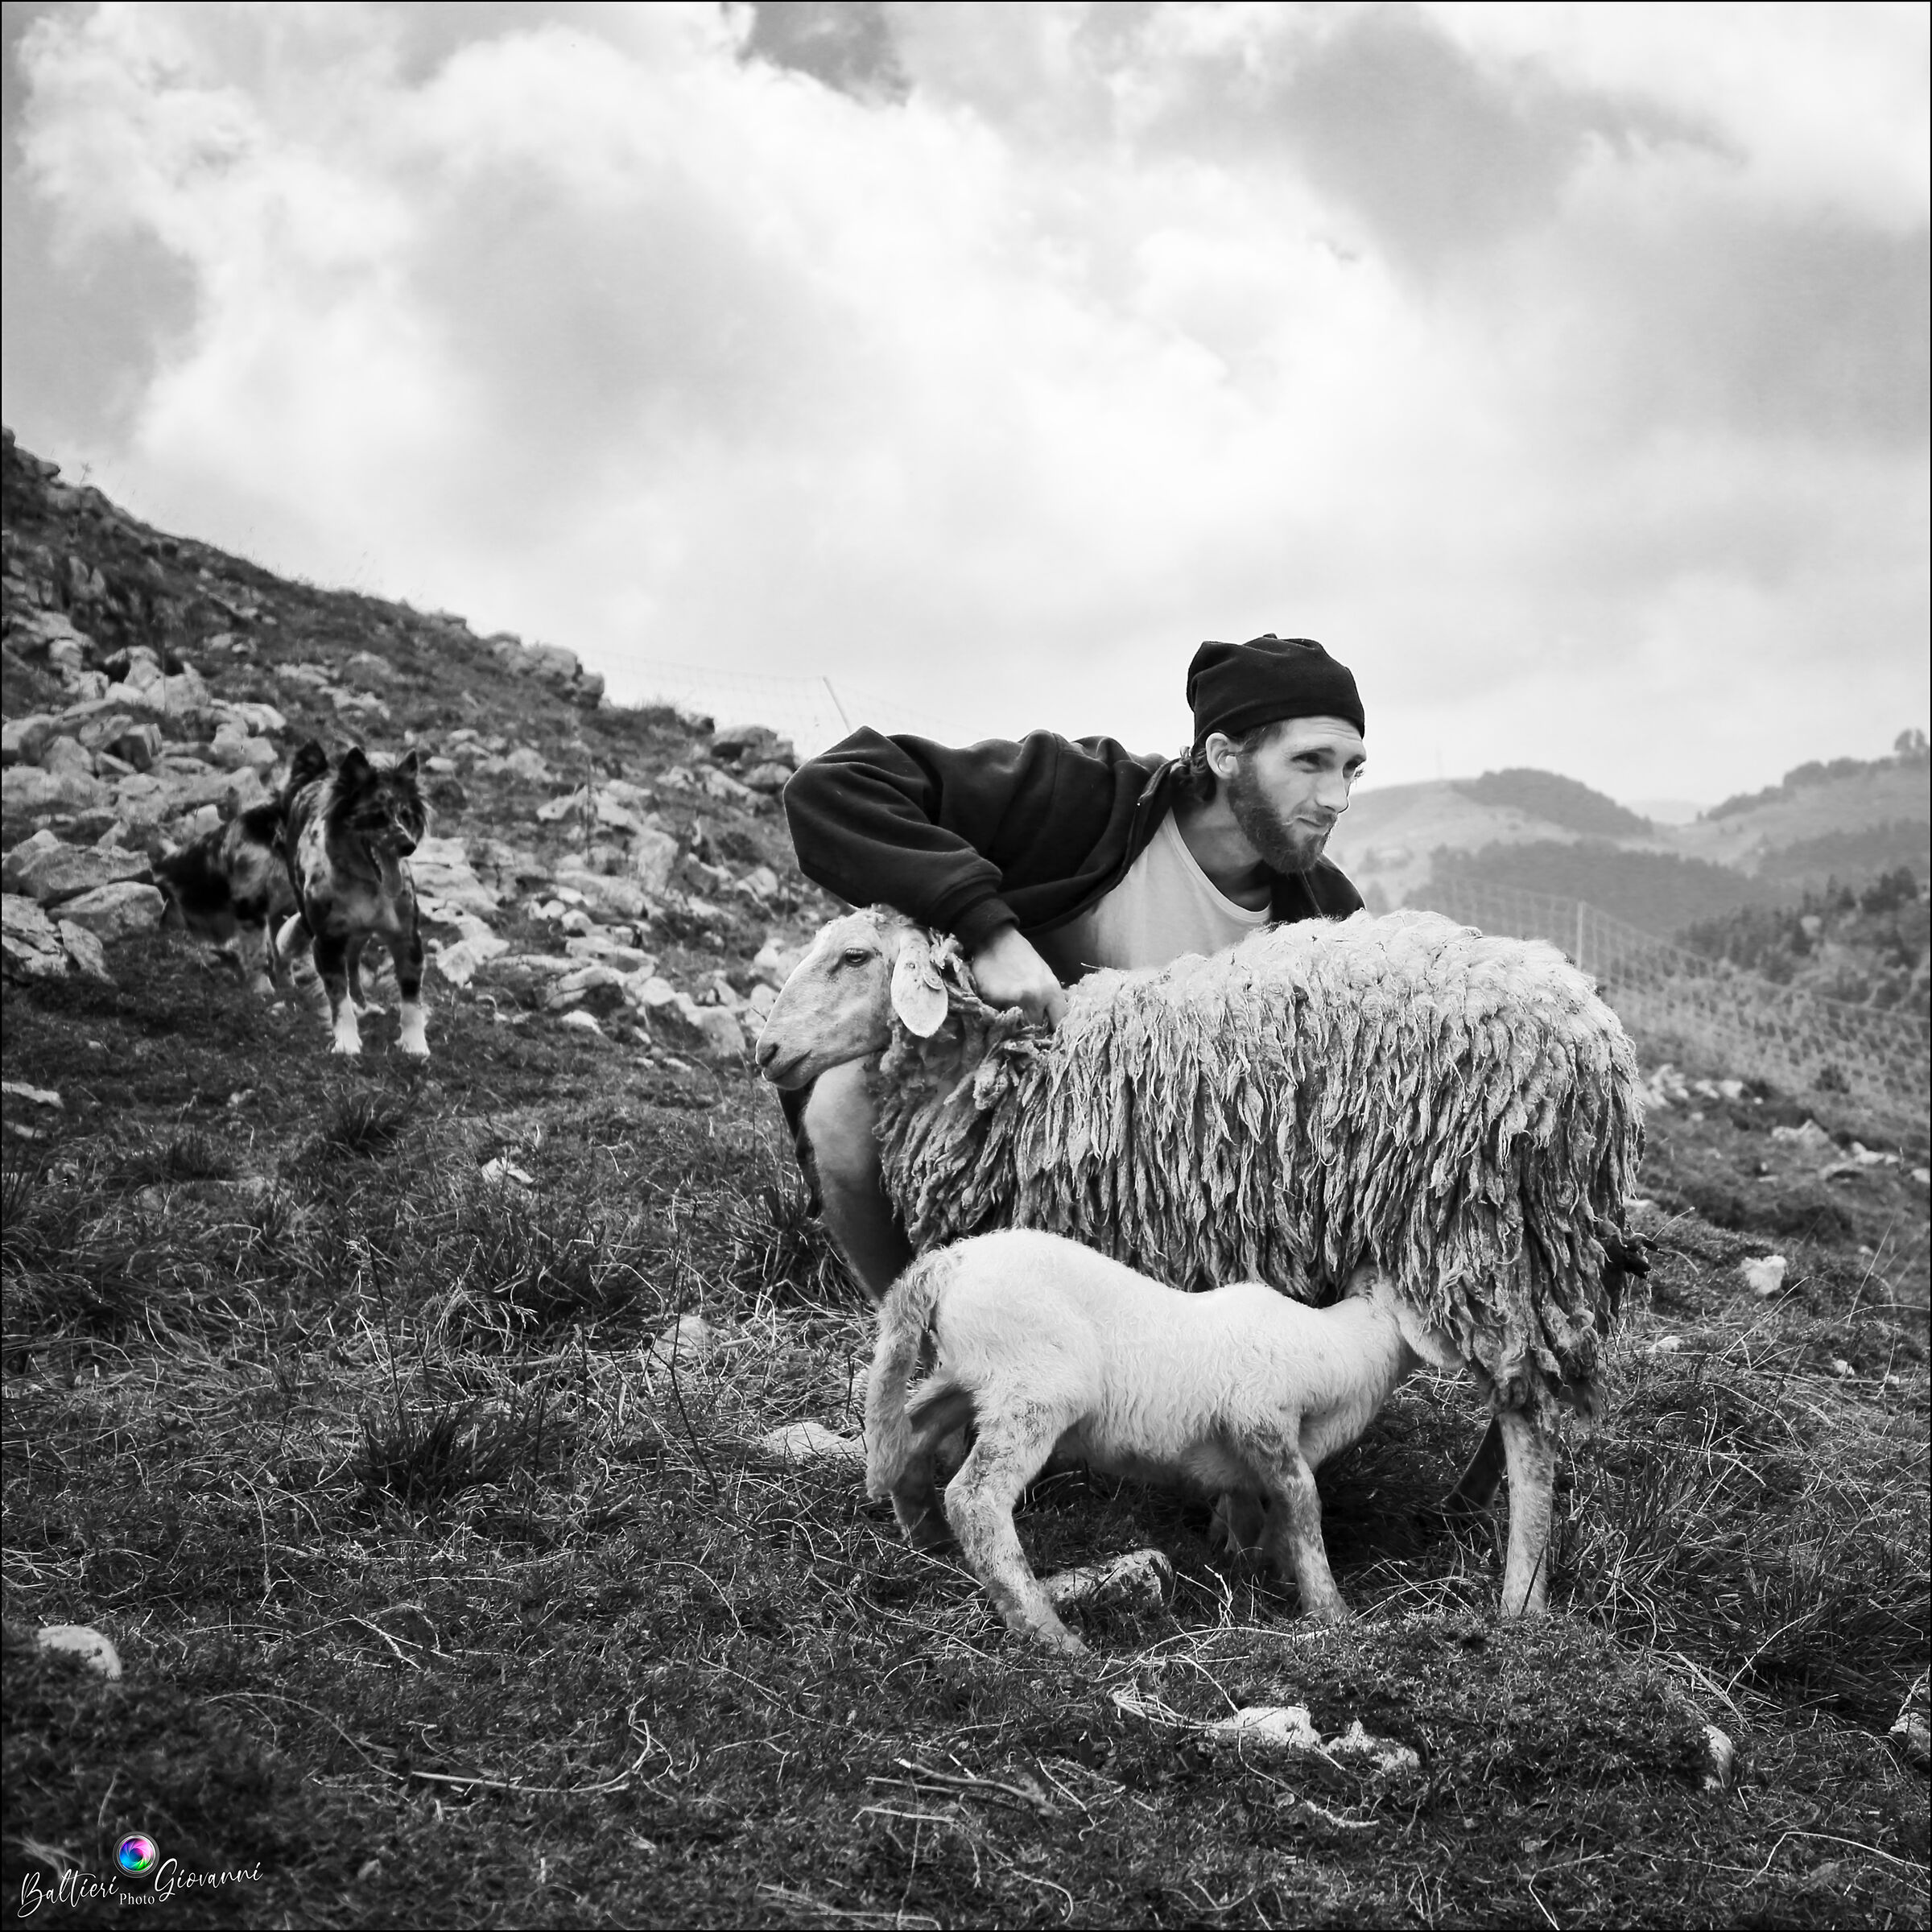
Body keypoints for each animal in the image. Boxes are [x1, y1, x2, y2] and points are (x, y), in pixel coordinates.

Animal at [868, 1228, 1452, 1655]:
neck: (1343, 1349)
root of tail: (950, 1261)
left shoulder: (1247, 1450)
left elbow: (1253, 1509)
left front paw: (1249, 1564)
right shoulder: (1259, 1413)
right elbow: (1303, 1501)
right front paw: (1331, 1612)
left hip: (965, 1377)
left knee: (908, 1439)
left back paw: (929, 1543)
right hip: (1035, 1388)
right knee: (975, 1497)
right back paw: (1047, 1633)